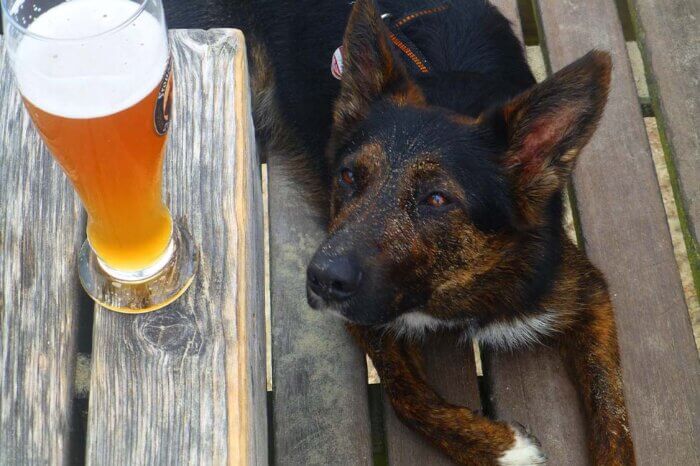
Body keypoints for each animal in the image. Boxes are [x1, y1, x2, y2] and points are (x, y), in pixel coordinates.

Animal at [167, 0, 636, 462]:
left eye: (436, 199)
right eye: (348, 176)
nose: (321, 279)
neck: (446, 287)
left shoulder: (584, 294)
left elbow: (614, 420)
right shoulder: (367, 318)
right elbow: (407, 397)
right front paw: (502, 448)